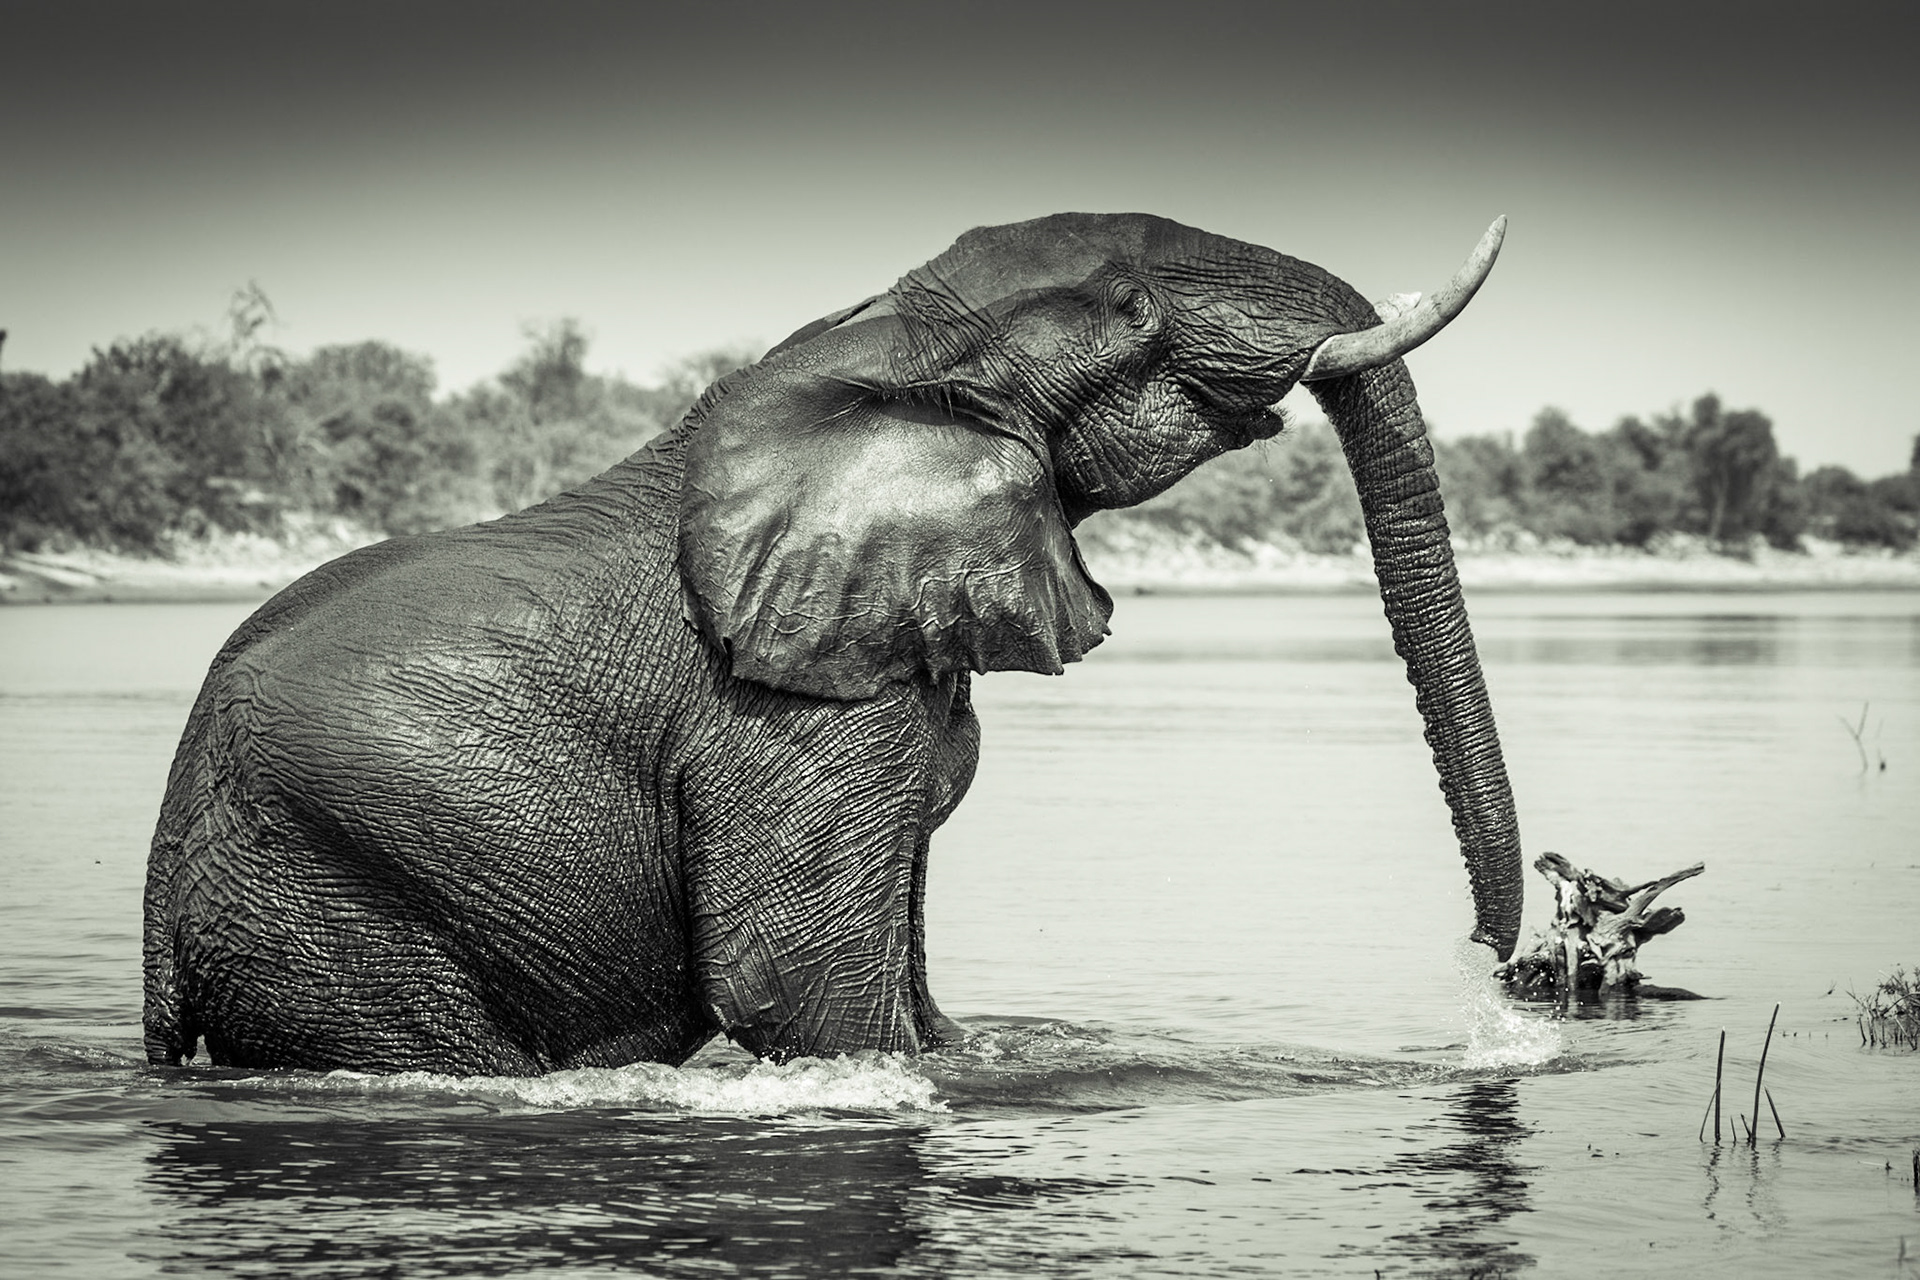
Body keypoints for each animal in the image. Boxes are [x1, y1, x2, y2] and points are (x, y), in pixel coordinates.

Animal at [142, 212, 1524, 1074]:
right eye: (1132, 307)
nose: (1495, 965)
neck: (885, 333)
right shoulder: (779, 709)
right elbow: (803, 984)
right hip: (339, 897)